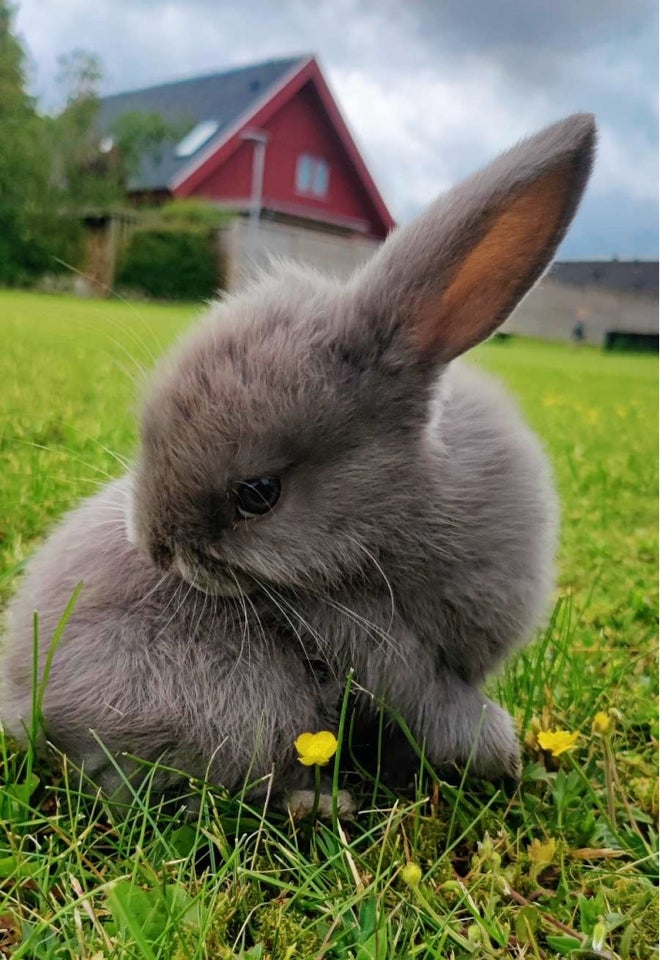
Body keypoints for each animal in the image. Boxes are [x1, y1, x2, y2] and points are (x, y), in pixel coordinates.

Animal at [0, 114, 596, 808]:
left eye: (259, 493)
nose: (154, 549)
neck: (408, 508)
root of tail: (27, 705)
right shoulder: (381, 644)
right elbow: (435, 704)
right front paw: (500, 752)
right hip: (246, 698)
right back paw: (320, 802)